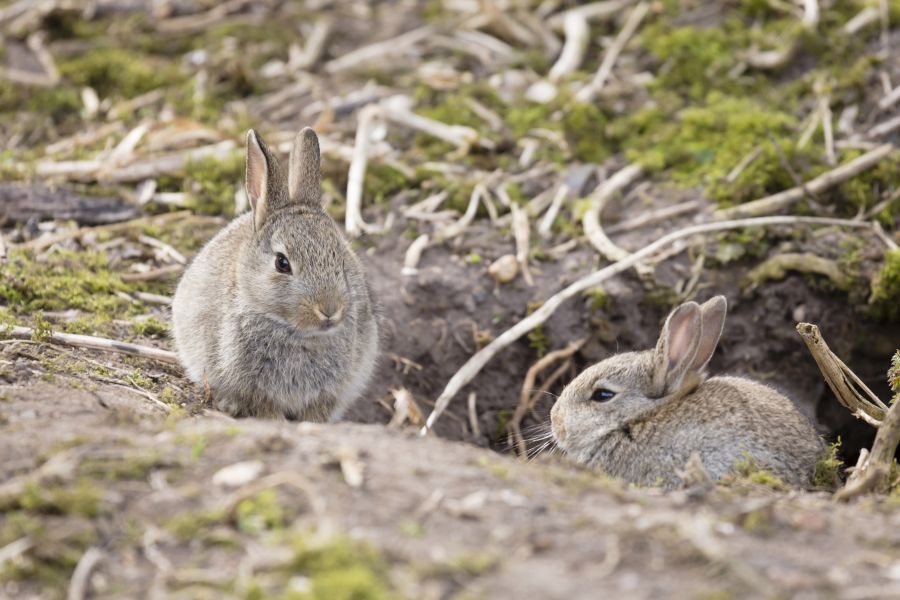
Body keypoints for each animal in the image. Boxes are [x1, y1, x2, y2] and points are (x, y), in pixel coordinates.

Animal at [171, 127, 378, 422]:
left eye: (341, 256)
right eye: (282, 263)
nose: (330, 310)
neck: (296, 332)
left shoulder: (328, 393)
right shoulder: (256, 390)